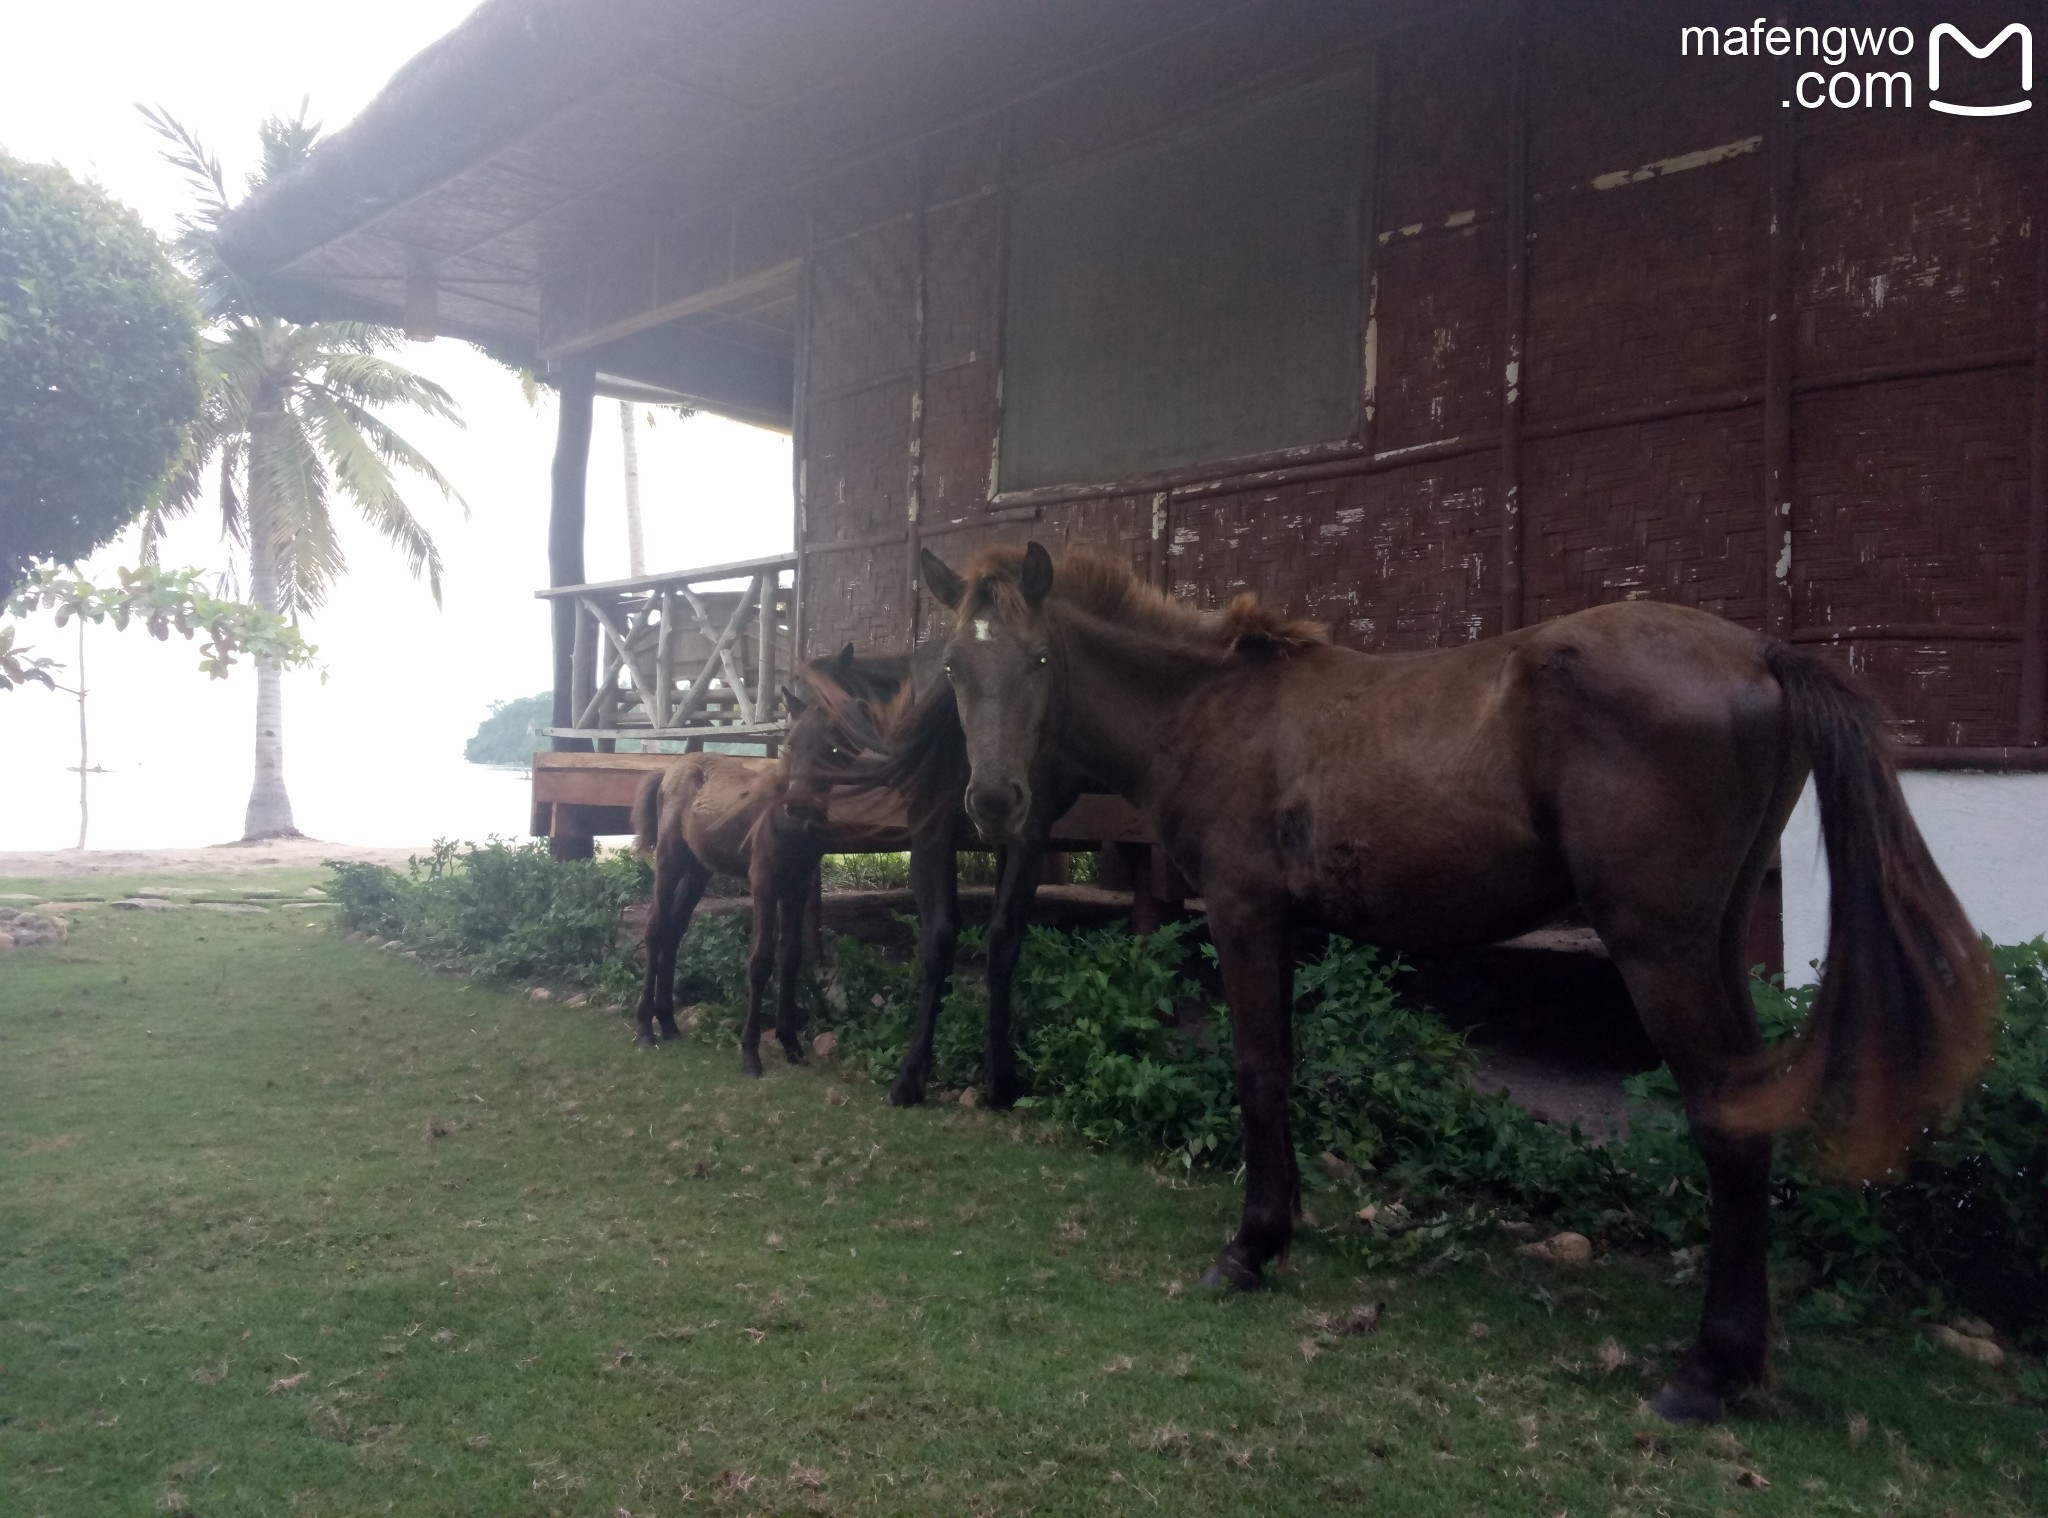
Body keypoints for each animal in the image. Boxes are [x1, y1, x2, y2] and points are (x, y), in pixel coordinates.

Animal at [630, 667, 872, 1073]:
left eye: (834, 749)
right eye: (790, 744)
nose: (797, 808)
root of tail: (668, 771)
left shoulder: (797, 885)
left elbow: (791, 956)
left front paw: (791, 1044)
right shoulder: (763, 883)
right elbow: (760, 960)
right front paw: (750, 1052)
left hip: (698, 871)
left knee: (675, 931)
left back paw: (669, 1022)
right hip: (670, 859)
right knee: (656, 927)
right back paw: (646, 1027)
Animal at [921, 540, 1990, 1417]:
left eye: (1039, 660)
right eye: (954, 668)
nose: (994, 801)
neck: (1214, 709)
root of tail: (1760, 653)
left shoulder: (1243, 915)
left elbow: (1258, 1072)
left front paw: (1251, 1247)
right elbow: (1287, 1072)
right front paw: (1285, 1225)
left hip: (1663, 952)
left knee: (1729, 1123)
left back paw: (1706, 1371)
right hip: (1717, 942)